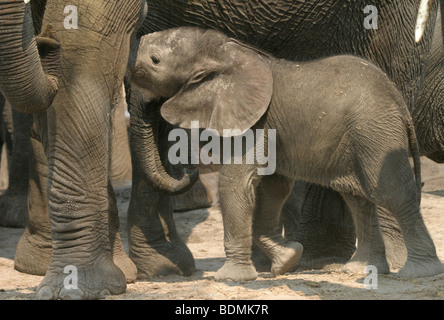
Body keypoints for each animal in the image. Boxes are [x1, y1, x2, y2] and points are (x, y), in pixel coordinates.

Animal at [127, 0, 444, 280]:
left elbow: (235, 182)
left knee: (391, 192)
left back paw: (419, 271)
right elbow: (272, 188)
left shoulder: (256, 122)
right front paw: (287, 260)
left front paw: (231, 278)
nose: (188, 169)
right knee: (357, 196)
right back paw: (360, 270)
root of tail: (398, 102)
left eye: (154, 62)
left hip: (376, 130)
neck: (226, 49)